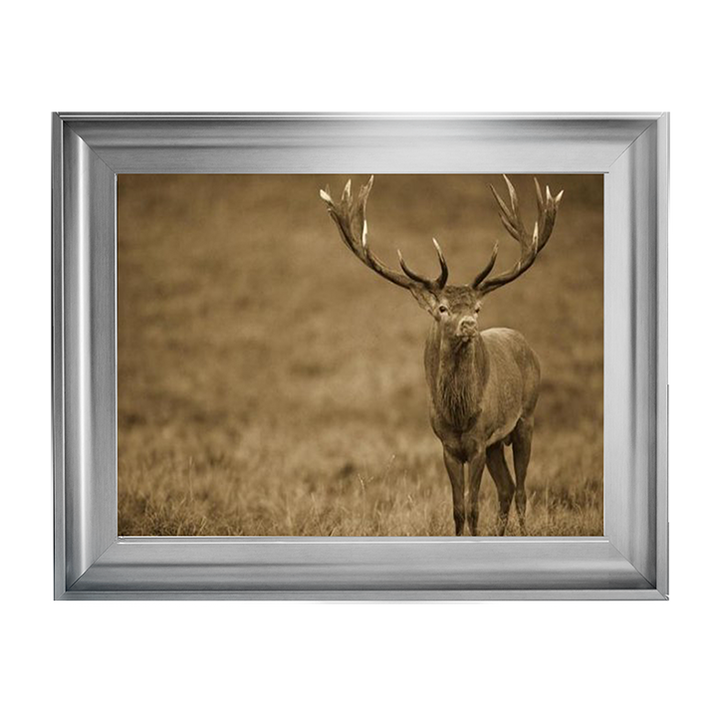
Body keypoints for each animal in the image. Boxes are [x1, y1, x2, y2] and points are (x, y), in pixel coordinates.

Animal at [320, 175, 563, 536]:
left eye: (477, 307)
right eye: (443, 308)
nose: (469, 325)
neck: (458, 415)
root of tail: (526, 345)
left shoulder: (477, 443)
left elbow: (474, 507)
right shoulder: (448, 446)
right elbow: (458, 508)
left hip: (526, 418)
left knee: (520, 490)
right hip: (497, 443)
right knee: (506, 488)